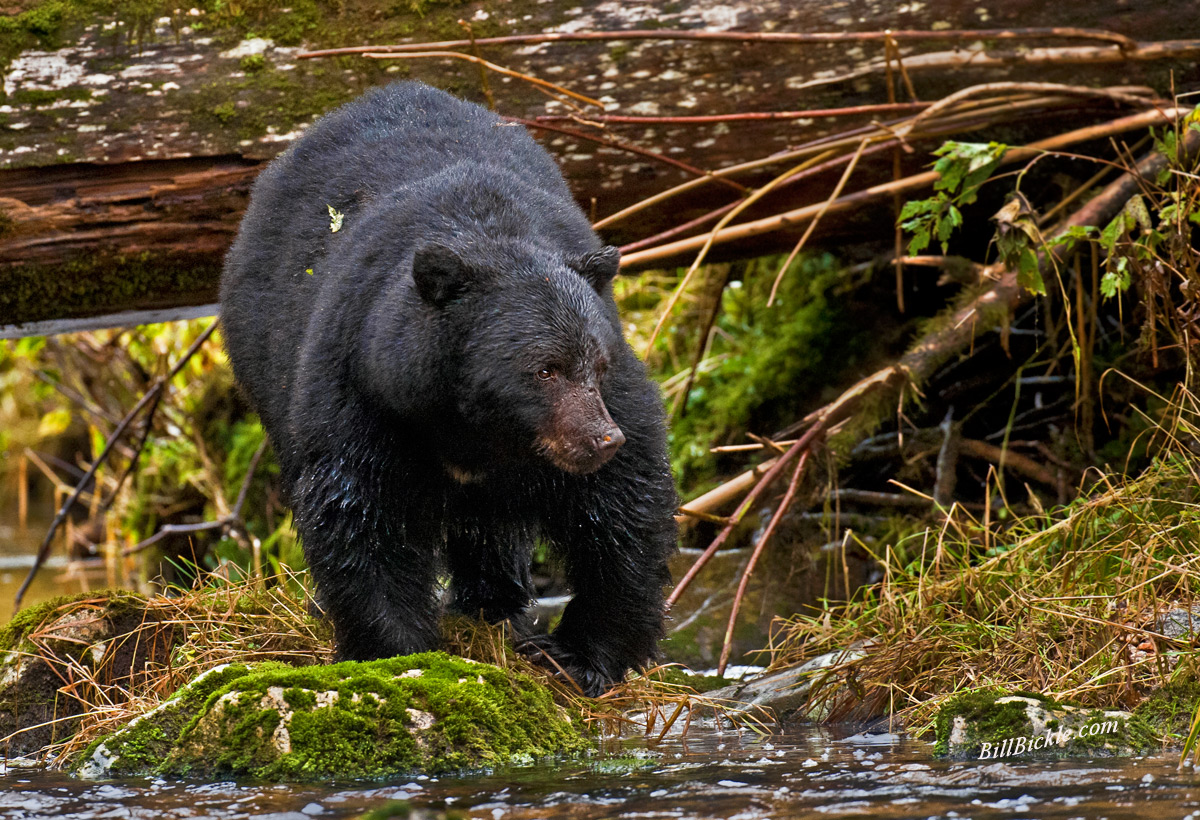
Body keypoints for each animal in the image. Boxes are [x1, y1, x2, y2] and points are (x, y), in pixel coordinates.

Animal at [219, 81, 678, 696]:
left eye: (597, 365)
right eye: (545, 369)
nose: (601, 440)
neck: (472, 428)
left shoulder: (614, 393)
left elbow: (624, 509)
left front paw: (579, 653)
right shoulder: (363, 394)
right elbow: (360, 516)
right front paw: (396, 652)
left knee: (491, 528)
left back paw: (495, 601)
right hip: (266, 363)